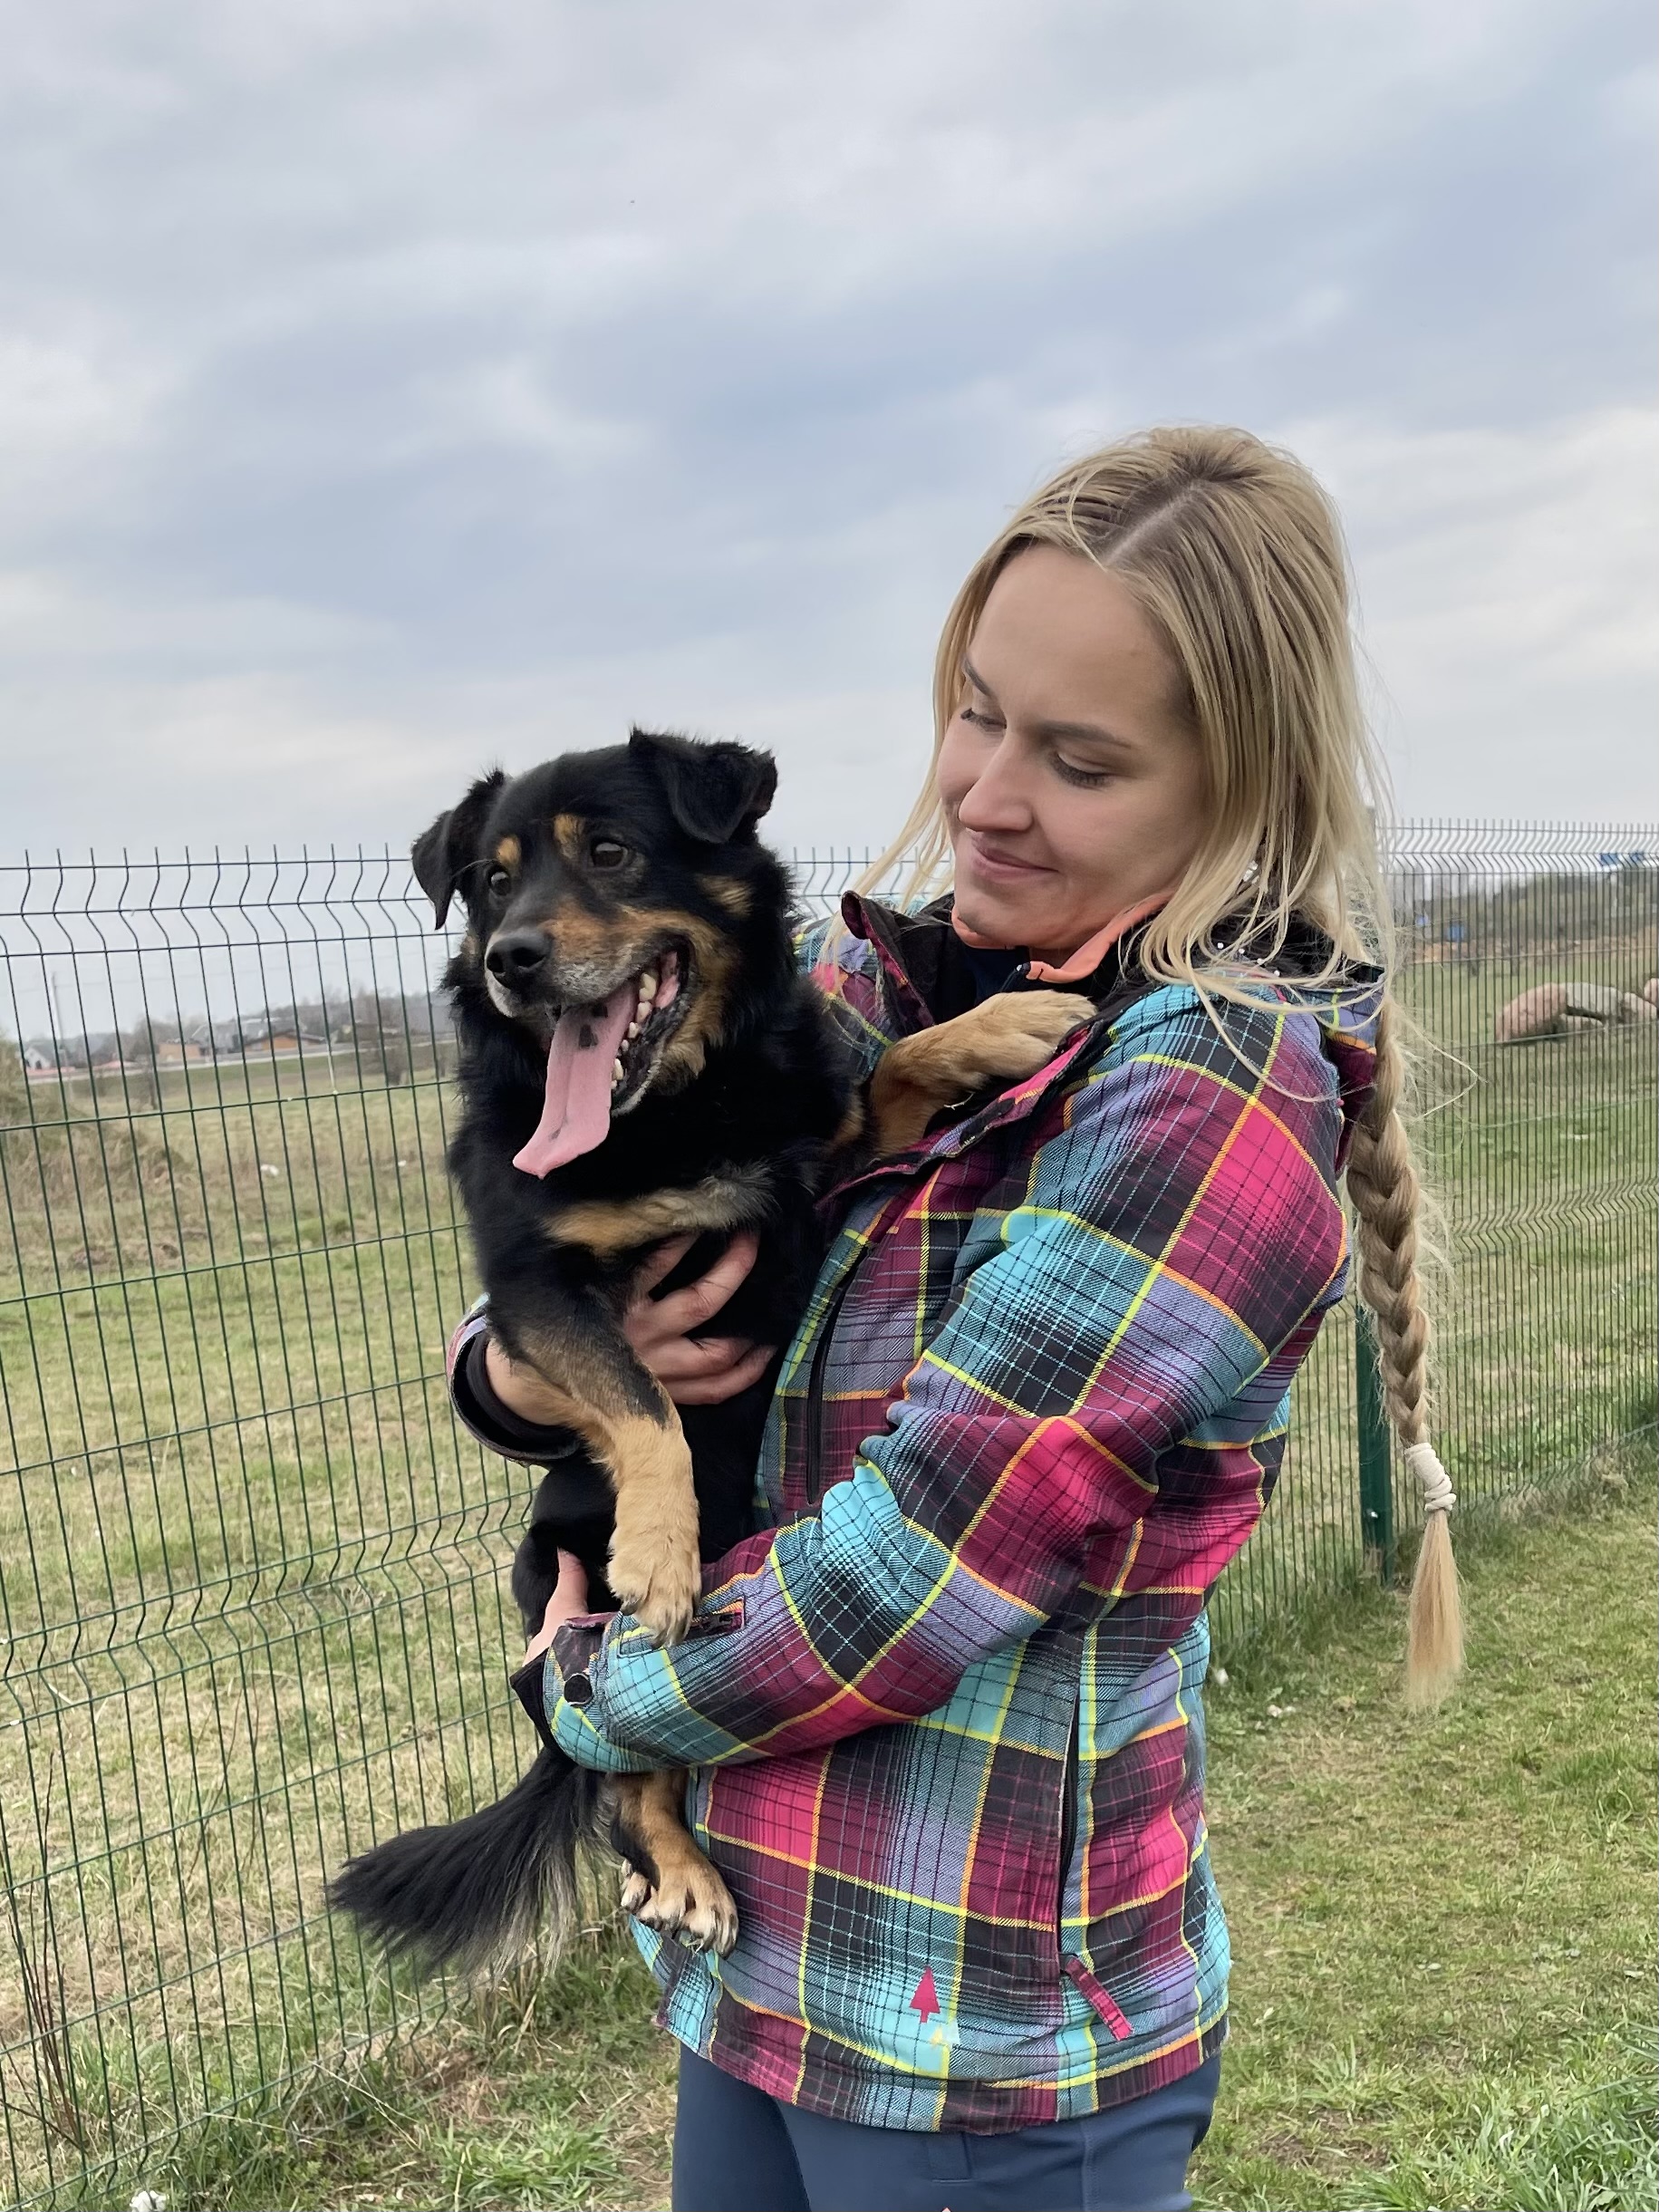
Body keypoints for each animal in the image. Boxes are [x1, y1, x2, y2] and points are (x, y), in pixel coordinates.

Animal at [329, 728, 1091, 1971]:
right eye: (490, 881)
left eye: (609, 850)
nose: (510, 958)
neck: (680, 1107)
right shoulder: (535, 1287)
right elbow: (642, 1401)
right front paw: (658, 1550)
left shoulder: (816, 1175)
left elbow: (889, 1071)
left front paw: (998, 1027)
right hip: (550, 1582)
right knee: (624, 1776)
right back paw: (679, 1868)